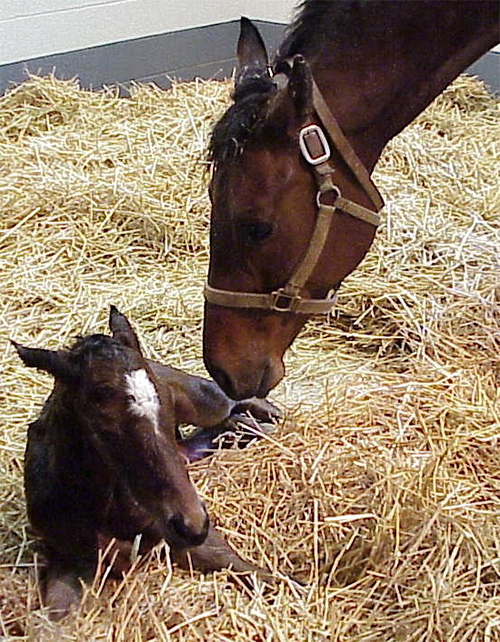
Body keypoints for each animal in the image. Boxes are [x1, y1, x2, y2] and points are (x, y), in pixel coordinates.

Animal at [12, 308, 278, 616]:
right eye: (103, 426)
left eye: (167, 404)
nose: (193, 525)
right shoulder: (68, 560)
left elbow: (259, 573)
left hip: (204, 402)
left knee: (239, 400)